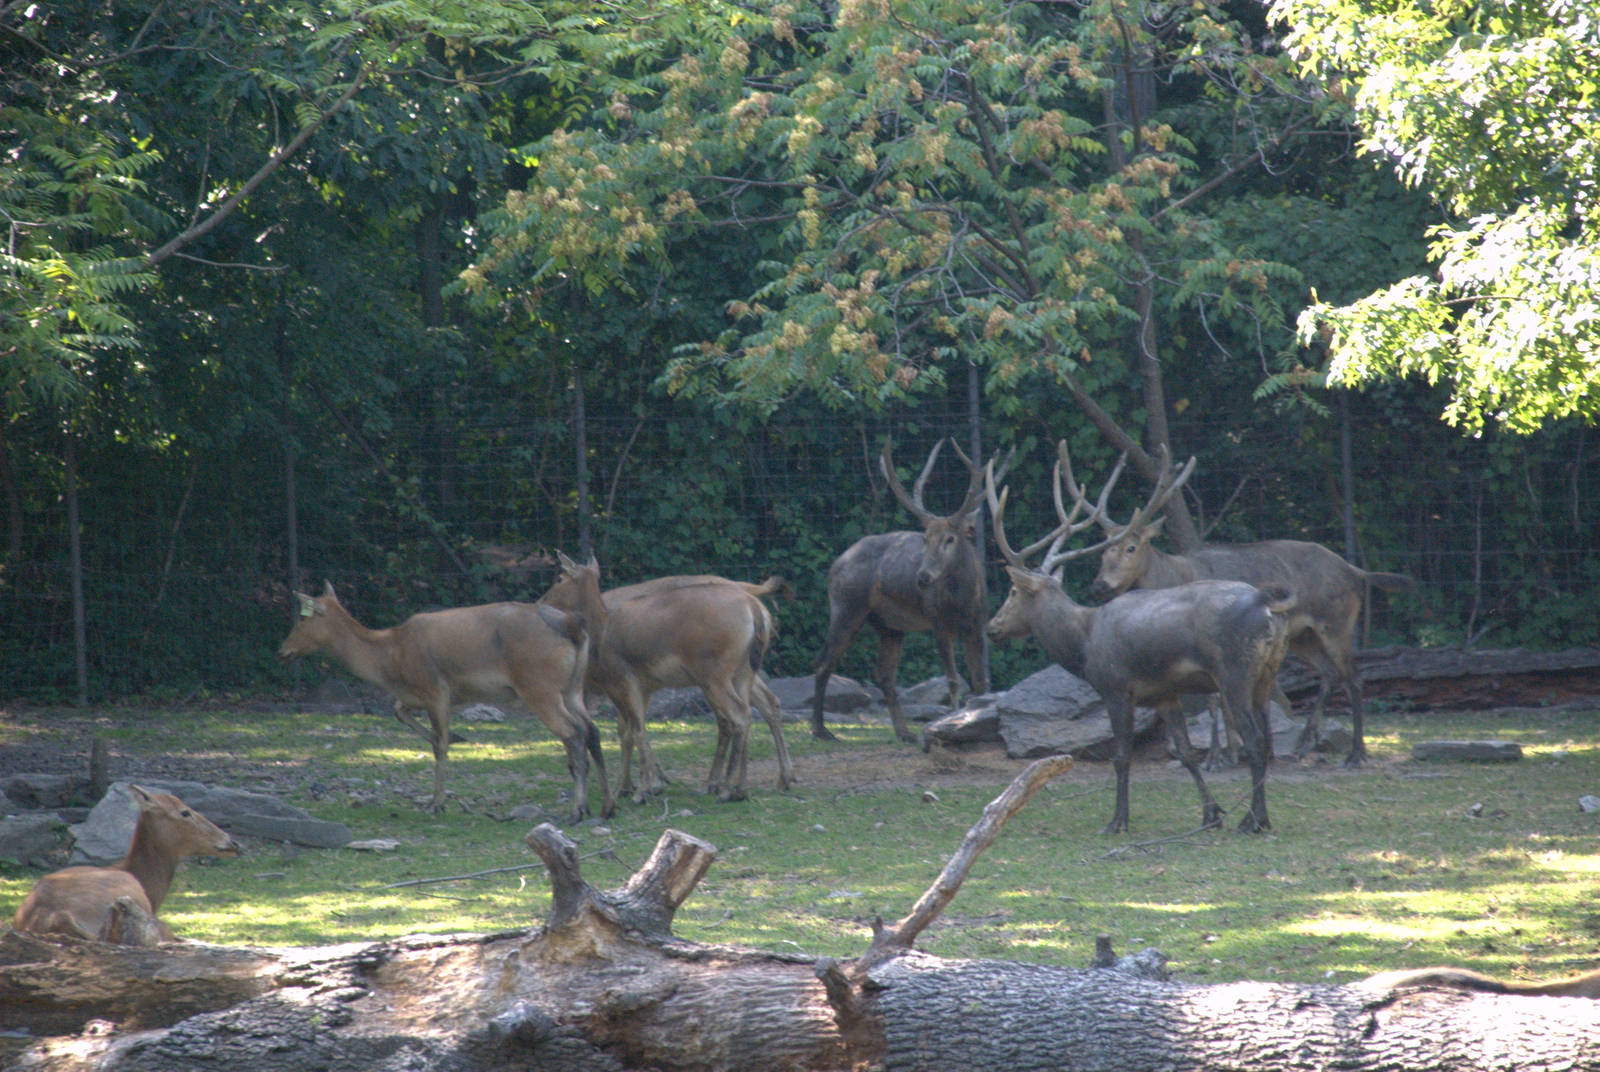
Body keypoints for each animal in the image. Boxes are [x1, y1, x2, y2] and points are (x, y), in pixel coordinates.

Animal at [277, 583, 614, 822]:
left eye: (302, 619)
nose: (283, 651)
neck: (389, 661)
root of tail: (574, 626)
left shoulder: (435, 688)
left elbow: (437, 744)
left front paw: (436, 803)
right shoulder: (425, 695)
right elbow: (400, 713)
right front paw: (457, 737)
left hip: (539, 686)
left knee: (572, 733)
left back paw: (577, 810)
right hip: (572, 687)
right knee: (591, 730)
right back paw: (605, 806)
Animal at [541, 554, 794, 804]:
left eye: (561, 577)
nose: (543, 599)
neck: (600, 632)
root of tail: (756, 608)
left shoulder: (623, 681)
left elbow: (633, 730)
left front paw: (641, 789)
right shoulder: (644, 687)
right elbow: (633, 729)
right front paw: (644, 785)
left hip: (714, 676)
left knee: (738, 716)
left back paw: (725, 789)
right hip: (743, 672)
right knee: (757, 709)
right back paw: (749, 786)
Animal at [811, 438, 1008, 743]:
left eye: (950, 539)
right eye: (925, 538)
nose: (923, 577)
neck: (964, 600)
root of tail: (834, 566)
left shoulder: (977, 626)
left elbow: (980, 682)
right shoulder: (938, 622)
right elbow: (953, 680)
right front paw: (951, 723)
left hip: (890, 626)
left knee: (884, 674)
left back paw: (904, 732)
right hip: (846, 607)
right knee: (823, 663)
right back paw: (821, 730)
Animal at [984, 443, 1293, 834]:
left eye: (1012, 592)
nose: (992, 627)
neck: (1083, 645)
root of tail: (1267, 605)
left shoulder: (1116, 688)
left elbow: (1121, 756)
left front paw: (1117, 820)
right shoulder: (1165, 694)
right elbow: (1187, 753)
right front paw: (1210, 814)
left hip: (1234, 672)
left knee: (1253, 740)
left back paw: (1251, 820)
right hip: (1267, 672)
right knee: (1267, 739)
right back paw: (1262, 818)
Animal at [1079, 446, 1414, 767]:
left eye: (1131, 547)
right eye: (1102, 551)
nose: (1098, 586)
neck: (1171, 577)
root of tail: (1357, 572)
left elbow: (1216, 701)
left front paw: (1220, 757)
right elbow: (1217, 701)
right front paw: (1228, 753)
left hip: (1338, 622)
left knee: (1354, 677)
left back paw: (1355, 754)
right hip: (1302, 635)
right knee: (1330, 673)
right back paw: (1304, 745)